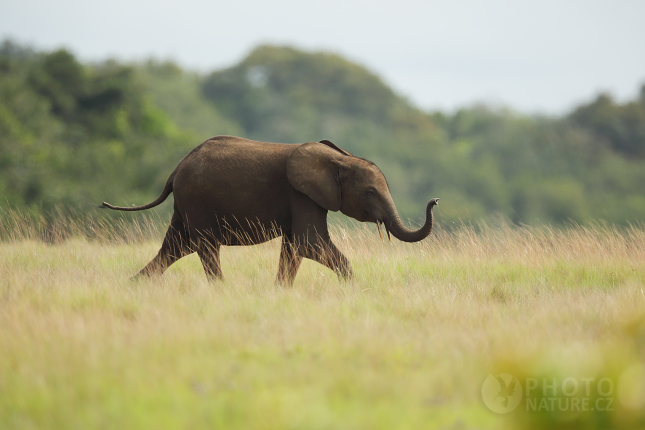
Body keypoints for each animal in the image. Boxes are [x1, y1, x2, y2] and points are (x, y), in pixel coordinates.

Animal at [97, 137, 438, 286]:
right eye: (369, 192)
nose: (434, 201)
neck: (340, 158)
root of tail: (175, 169)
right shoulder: (301, 195)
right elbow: (309, 243)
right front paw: (352, 287)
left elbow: (294, 247)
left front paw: (281, 291)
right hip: (196, 199)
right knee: (203, 246)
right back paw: (221, 290)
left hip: (186, 203)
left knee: (176, 246)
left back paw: (134, 284)